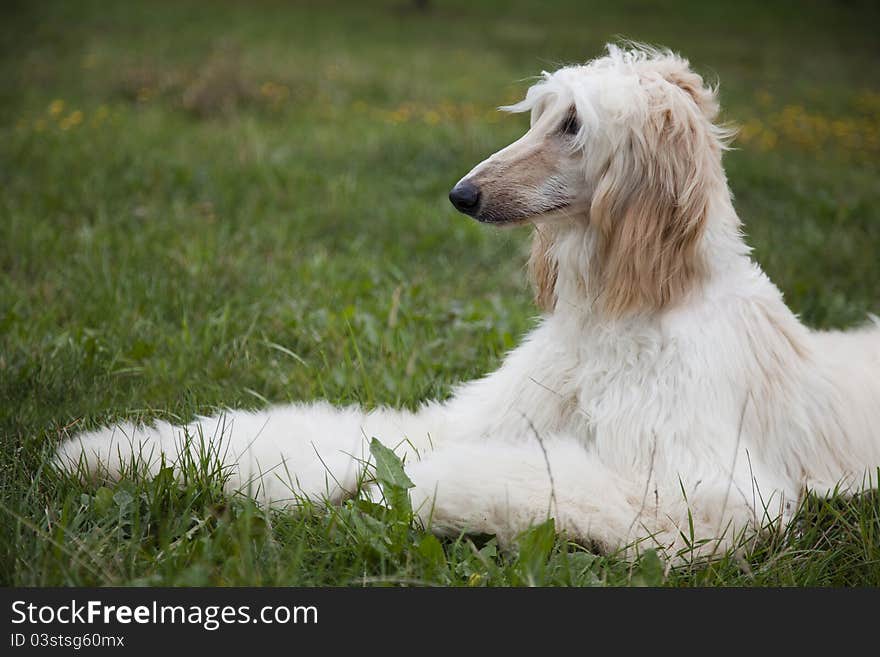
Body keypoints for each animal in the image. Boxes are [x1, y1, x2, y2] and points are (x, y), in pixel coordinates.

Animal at [56, 44, 880, 560]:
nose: (462, 194)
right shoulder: (465, 417)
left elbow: (521, 479)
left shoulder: (710, 500)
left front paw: (412, 490)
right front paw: (115, 453)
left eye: (573, 124)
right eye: (540, 114)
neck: (624, 314)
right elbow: (331, 438)